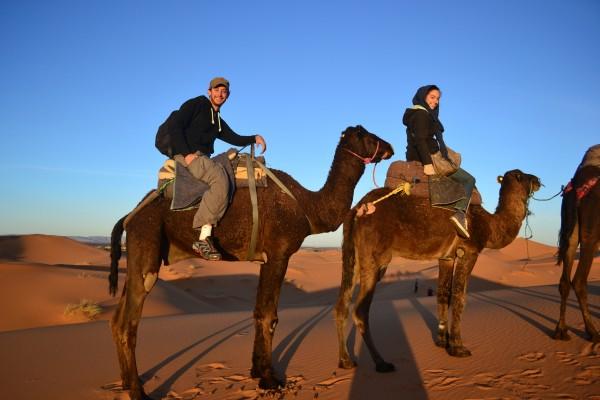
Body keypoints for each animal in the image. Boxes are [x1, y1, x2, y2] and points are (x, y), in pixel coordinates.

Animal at [108, 126, 394, 400]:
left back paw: (126, 382)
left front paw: (257, 371)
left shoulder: (265, 259)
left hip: (138, 253)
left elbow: (258, 312)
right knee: (128, 322)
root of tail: (130, 215)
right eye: (365, 135)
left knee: (117, 317)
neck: (307, 206)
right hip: (147, 239)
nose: (389, 148)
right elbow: (270, 316)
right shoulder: (278, 254)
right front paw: (270, 378)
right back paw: (138, 391)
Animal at [336, 169, 540, 372]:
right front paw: (458, 347)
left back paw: (346, 361)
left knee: (342, 305)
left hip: (353, 254)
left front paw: (443, 342)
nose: (538, 180)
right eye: (523, 176)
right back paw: (381, 362)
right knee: (360, 311)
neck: (490, 225)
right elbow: (459, 297)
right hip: (375, 257)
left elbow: (443, 295)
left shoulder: (446, 257)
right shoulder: (469, 251)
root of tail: (357, 209)